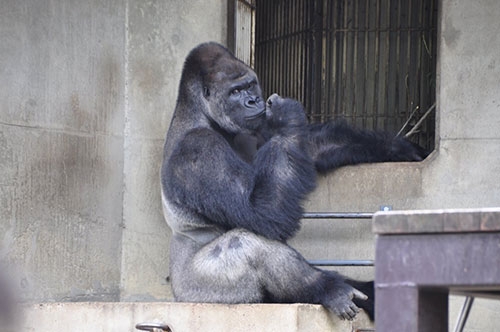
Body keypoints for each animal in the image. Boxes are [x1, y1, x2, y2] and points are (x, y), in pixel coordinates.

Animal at [160, 41, 426, 320]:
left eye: (250, 85)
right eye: (236, 91)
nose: (253, 100)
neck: (202, 116)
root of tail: (176, 295)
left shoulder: (255, 129)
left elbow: (308, 147)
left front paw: (397, 147)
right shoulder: (199, 150)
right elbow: (261, 212)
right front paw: (285, 114)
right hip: (200, 294)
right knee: (245, 243)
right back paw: (328, 289)